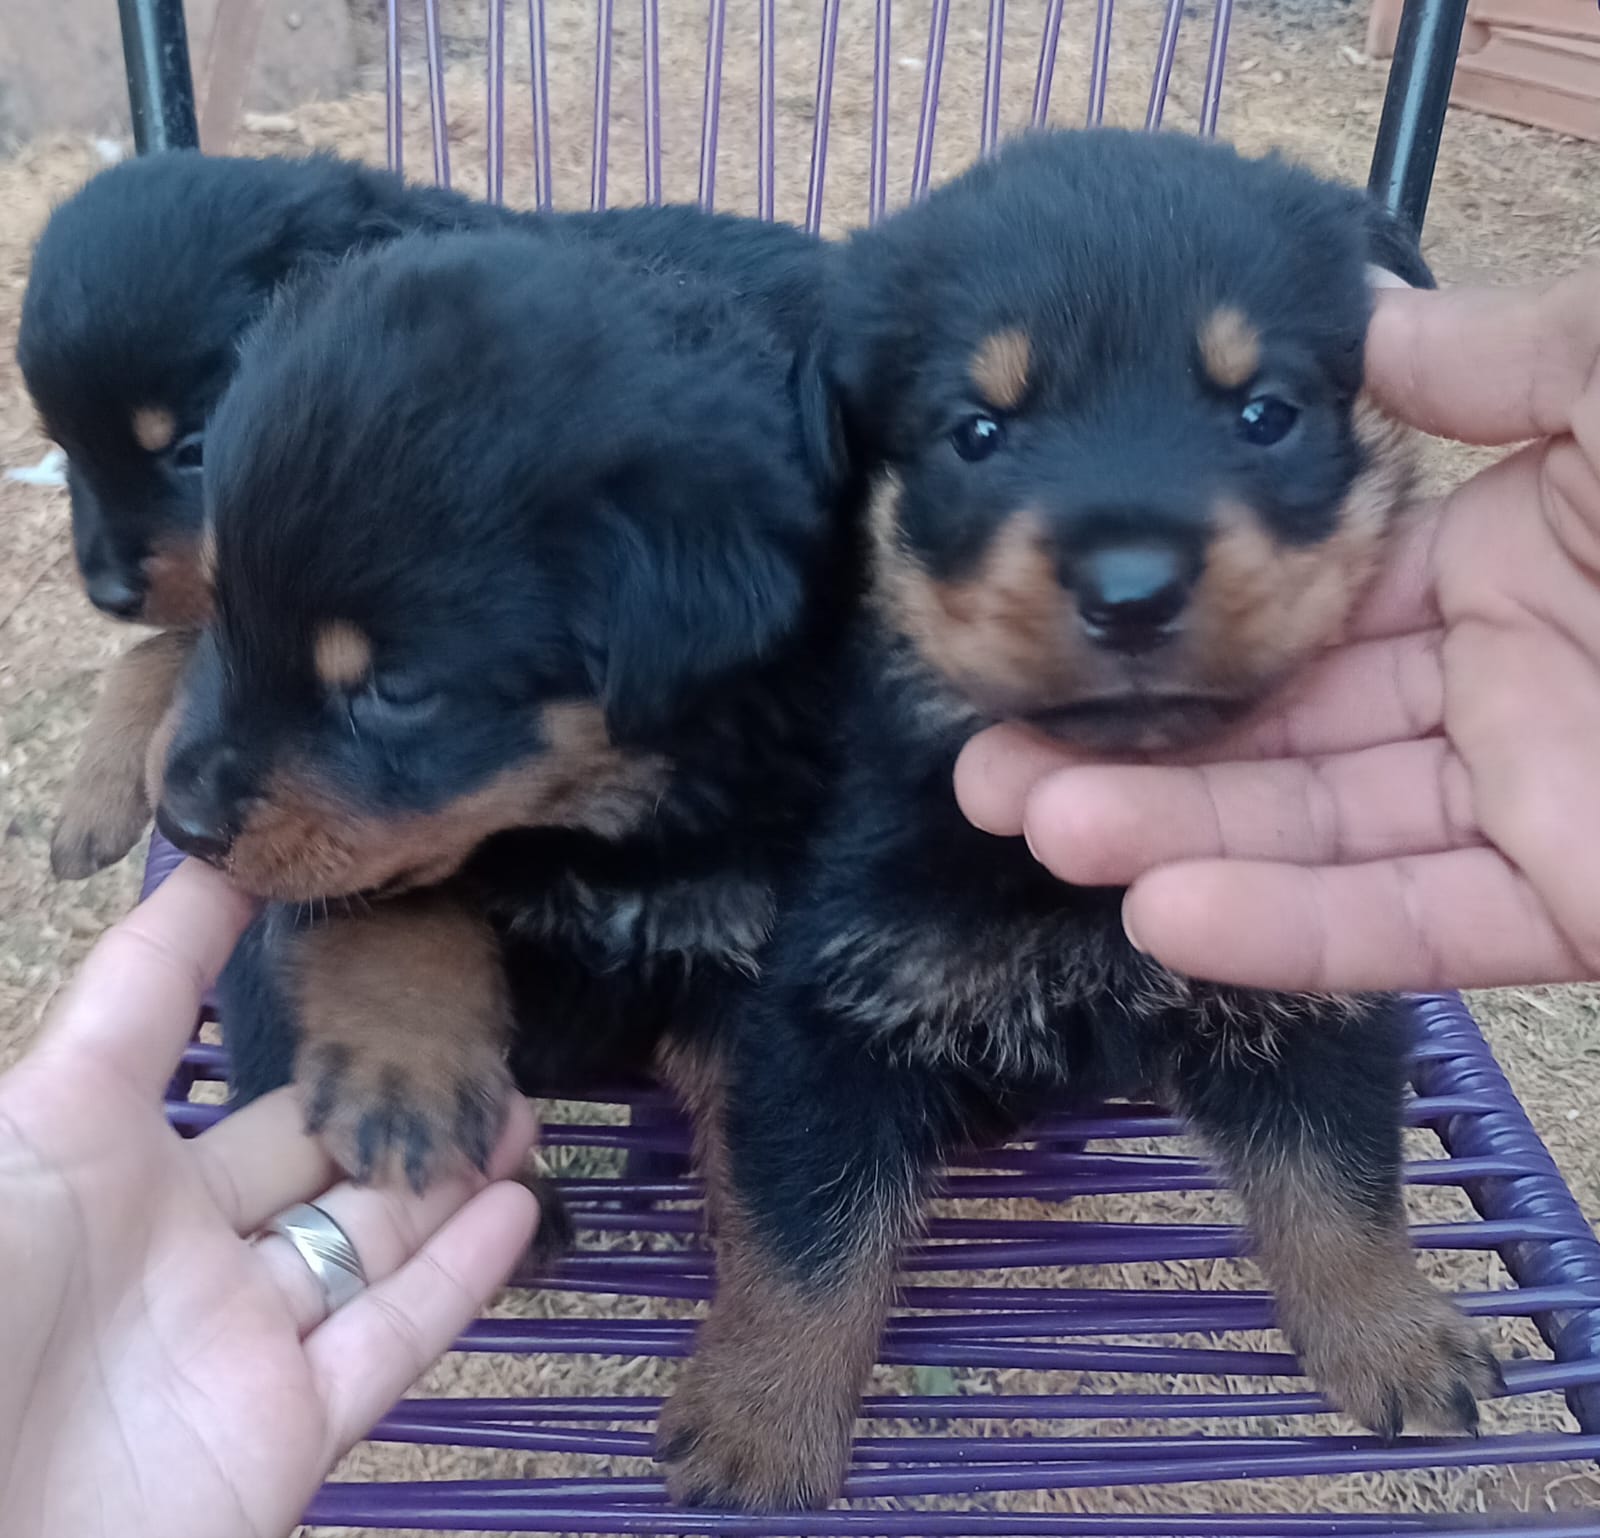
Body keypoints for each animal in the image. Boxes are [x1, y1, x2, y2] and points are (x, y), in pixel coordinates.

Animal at [144, 222, 857, 1197]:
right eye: (219, 605)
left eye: (398, 693)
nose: (182, 824)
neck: (605, 822)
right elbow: (386, 889)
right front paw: (404, 1070)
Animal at [656, 123, 1504, 1510]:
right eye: (976, 431)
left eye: (1262, 412)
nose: (1132, 586)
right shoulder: (824, 1005)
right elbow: (809, 1238)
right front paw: (758, 1416)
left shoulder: (1315, 987)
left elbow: (1339, 1176)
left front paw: (1390, 1332)